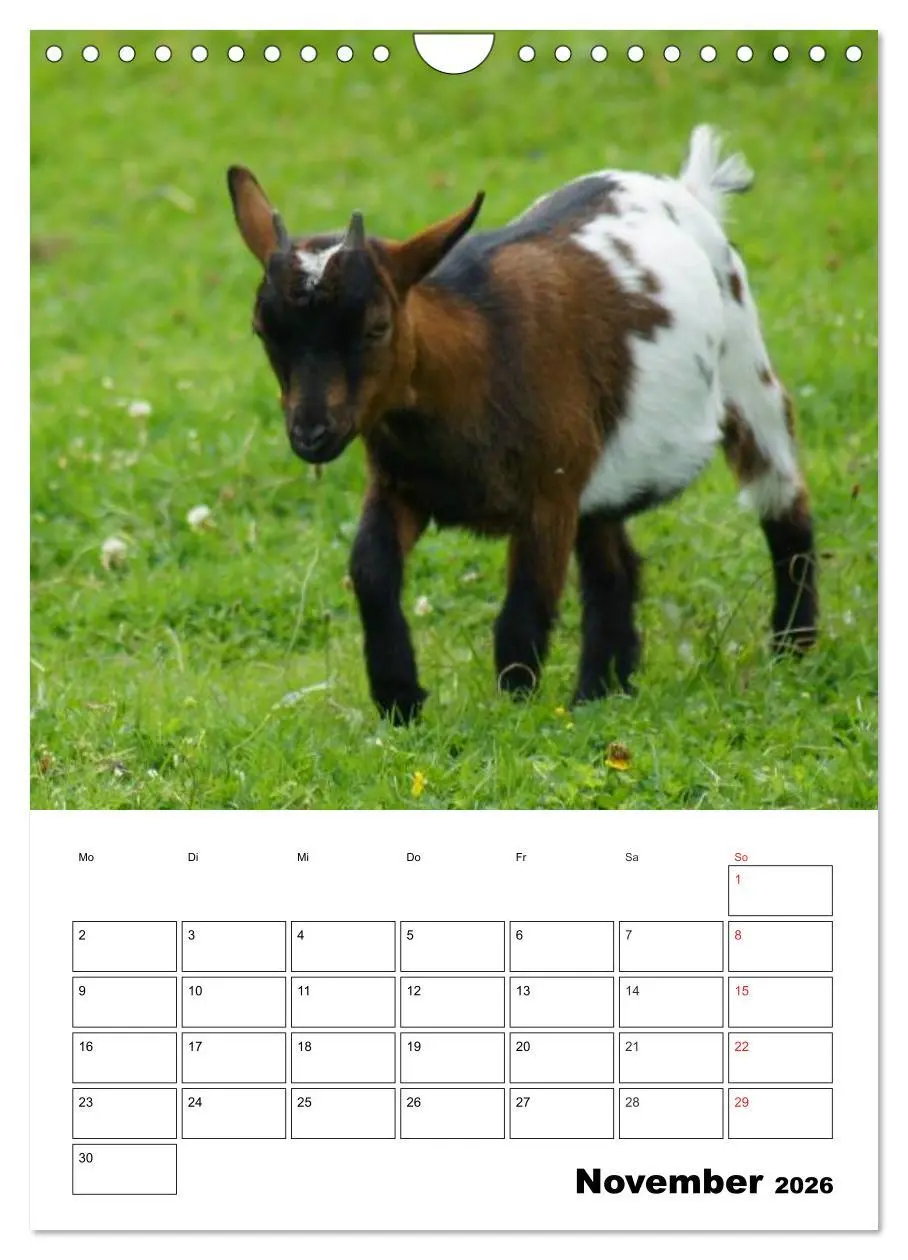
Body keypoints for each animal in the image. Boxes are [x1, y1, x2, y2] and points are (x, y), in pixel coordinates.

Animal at [227, 125, 818, 724]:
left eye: (376, 327)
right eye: (262, 329)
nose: (311, 434)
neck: (477, 360)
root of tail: (687, 190)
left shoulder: (548, 495)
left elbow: (523, 611)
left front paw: (514, 712)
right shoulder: (400, 484)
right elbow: (370, 570)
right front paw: (400, 699)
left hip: (747, 375)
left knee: (782, 501)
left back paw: (792, 645)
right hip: (603, 470)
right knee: (614, 567)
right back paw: (599, 694)